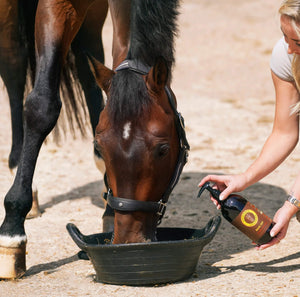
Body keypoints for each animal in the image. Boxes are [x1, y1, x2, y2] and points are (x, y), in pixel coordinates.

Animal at [0, 0, 188, 278]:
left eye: (163, 149)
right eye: (101, 143)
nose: (129, 239)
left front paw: (110, 209)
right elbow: (41, 106)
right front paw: (12, 229)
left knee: (86, 57)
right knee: (14, 61)